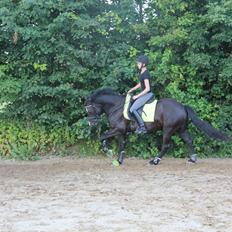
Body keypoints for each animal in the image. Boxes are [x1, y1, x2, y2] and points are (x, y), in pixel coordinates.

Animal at [84, 87, 228, 165]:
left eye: (89, 109)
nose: (92, 123)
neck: (116, 107)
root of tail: (182, 106)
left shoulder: (117, 129)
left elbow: (102, 136)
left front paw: (107, 151)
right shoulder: (121, 132)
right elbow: (121, 146)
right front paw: (118, 161)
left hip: (168, 129)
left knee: (166, 145)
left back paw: (155, 161)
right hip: (181, 129)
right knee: (189, 141)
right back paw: (192, 159)